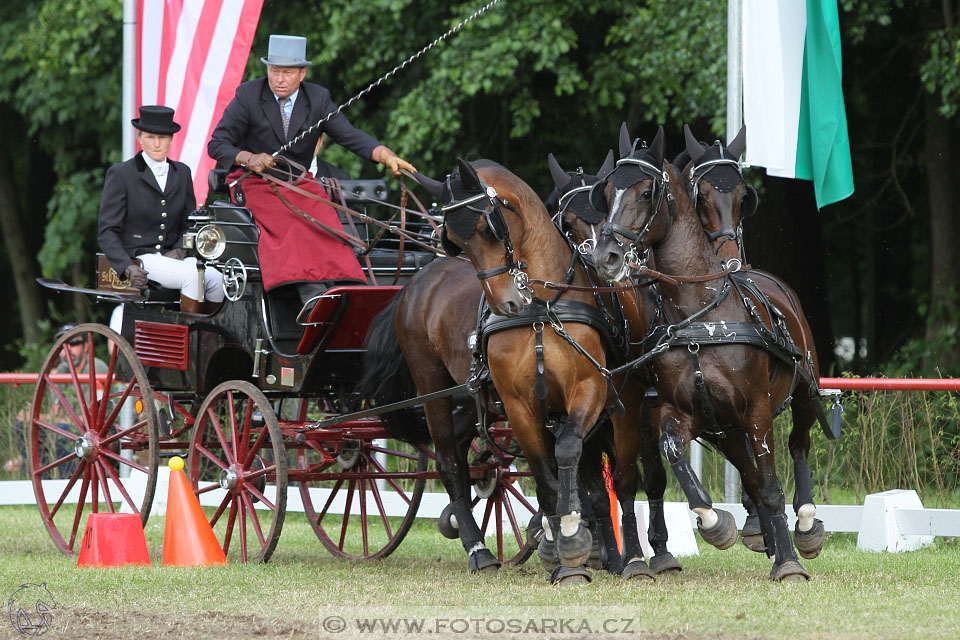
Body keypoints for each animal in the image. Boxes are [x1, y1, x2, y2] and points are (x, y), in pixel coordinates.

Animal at [412, 158, 660, 584]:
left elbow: (571, 455)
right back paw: (479, 551)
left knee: (624, 480)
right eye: (456, 241)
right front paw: (565, 554)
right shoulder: (518, 406)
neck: (543, 306)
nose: (507, 302)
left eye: (488, 228)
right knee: (450, 462)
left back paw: (630, 560)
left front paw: (573, 538)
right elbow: (545, 479)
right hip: (435, 392)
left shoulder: (589, 390)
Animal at [592, 125, 808, 580]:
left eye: (646, 193)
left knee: (796, 444)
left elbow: (769, 482)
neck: (700, 314)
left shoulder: (754, 410)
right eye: (608, 192)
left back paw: (803, 528)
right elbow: (670, 458)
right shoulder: (671, 410)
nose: (606, 257)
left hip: (800, 395)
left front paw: (785, 557)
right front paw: (711, 522)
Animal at [680, 124, 828, 556]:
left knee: (798, 443)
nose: (730, 260)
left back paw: (804, 522)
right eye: (700, 195)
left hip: (803, 390)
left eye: (744, 197)